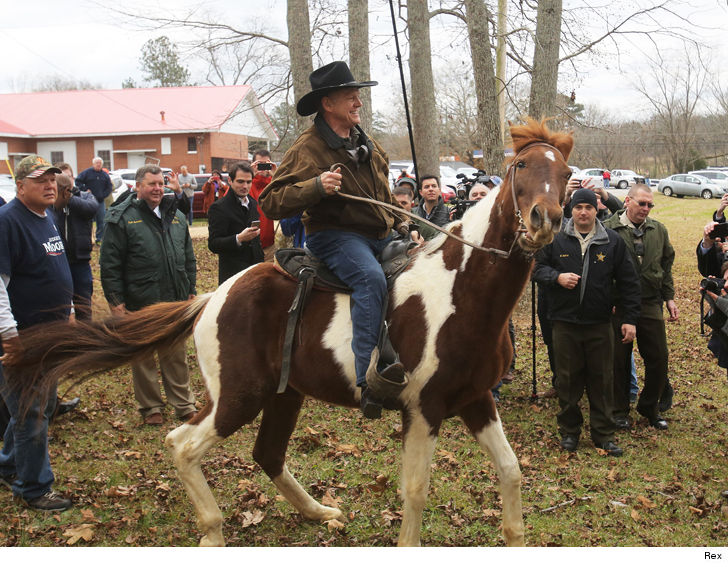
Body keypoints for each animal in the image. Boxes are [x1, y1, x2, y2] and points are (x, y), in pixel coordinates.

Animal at [5, 118, 576, 544]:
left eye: (567, 172)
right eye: (521, 166)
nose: (544, 219)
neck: (460, 291)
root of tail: (212, 297)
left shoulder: (475, 399)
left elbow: (512, 471)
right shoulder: (423, 409)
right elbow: (415, 491)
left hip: (283, 394)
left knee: (265, 453)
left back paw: (318, 512)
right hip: (239, 396)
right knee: (182, 444)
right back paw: (213, 532)